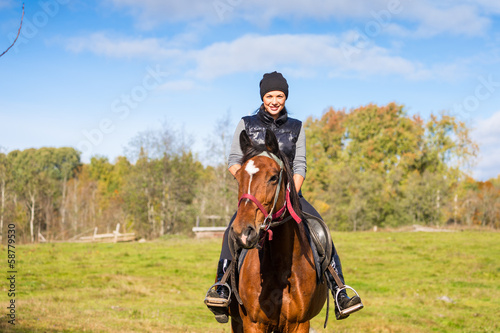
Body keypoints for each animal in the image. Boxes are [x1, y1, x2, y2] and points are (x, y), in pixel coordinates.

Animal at [228, 129, 328, 332]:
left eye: (273, 177)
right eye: (238, 177)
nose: (243, 232)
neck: (280, 267)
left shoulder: (299, 324)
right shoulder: (253, 323)